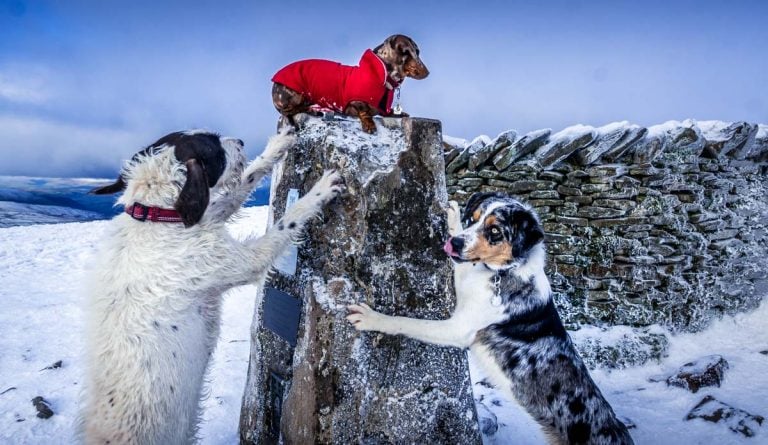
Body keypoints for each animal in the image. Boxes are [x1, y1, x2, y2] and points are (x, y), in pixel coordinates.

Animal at [79, 126, 342, 442]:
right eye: (214, 147)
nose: (240, 141)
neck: (156, 217)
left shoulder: (210, 213)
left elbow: (246, 179)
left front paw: (277, 146)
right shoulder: (244, 260)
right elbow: (287, 221)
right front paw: (319, 191)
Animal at [272, 34, 428, 133]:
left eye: (418, 51)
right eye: (411, 52)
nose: (428, 72)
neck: (382, 76)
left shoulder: (384, 109)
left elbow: (389, 113)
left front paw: (400, 114)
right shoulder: (355, 102)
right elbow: (364, 111)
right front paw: (369, 125)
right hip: (299, 95)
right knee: (291, 110)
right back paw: (314, 110)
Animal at [350, 192, 636, 444]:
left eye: (495, 231)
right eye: (473, 219)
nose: (455, 243)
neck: (504, 272)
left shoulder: (459, 328)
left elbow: (407, 322)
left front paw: (373, 318)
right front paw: (454, 218)